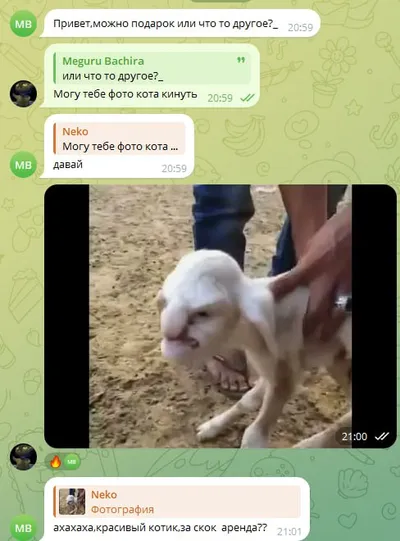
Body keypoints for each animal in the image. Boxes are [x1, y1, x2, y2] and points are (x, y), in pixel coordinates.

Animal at [157, 249, 351, 449]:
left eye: (203, 313)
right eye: (165, 303)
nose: (170, 333)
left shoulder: (286, 369)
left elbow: (254, 435)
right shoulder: (275, 367)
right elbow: (248, 401)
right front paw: (212, 426)